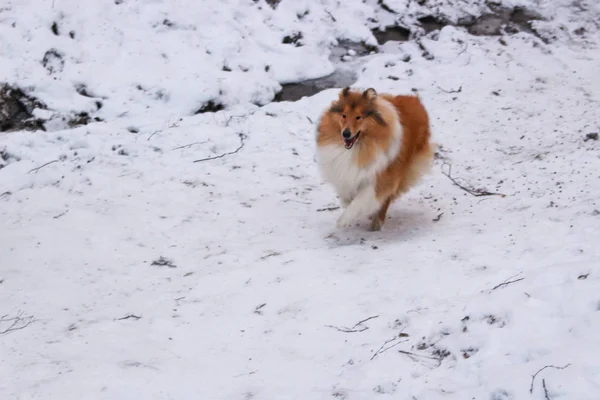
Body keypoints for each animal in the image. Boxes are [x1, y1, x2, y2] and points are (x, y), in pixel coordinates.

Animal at [316, 87, 434, 231]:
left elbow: (361, 200)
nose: (346, 134)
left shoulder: (380, 179)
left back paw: (377, 222)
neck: (359, 147)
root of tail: (415, 99)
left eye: (358, 117)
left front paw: (343, 220)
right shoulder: (346, 175)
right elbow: (347, 195)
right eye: (344, 115)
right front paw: (348, 203)